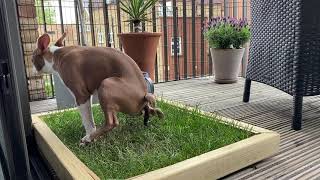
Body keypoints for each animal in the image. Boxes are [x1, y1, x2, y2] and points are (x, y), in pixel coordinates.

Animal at [32, 32, 164, 145]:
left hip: (106, 84)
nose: (32, 70)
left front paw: (89, 135)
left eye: (32, 59)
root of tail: (144, 95)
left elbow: (87, 120)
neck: (56, 55)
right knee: (150, 110)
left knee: (111, 122)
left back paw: (89, 138)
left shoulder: (81, 95)